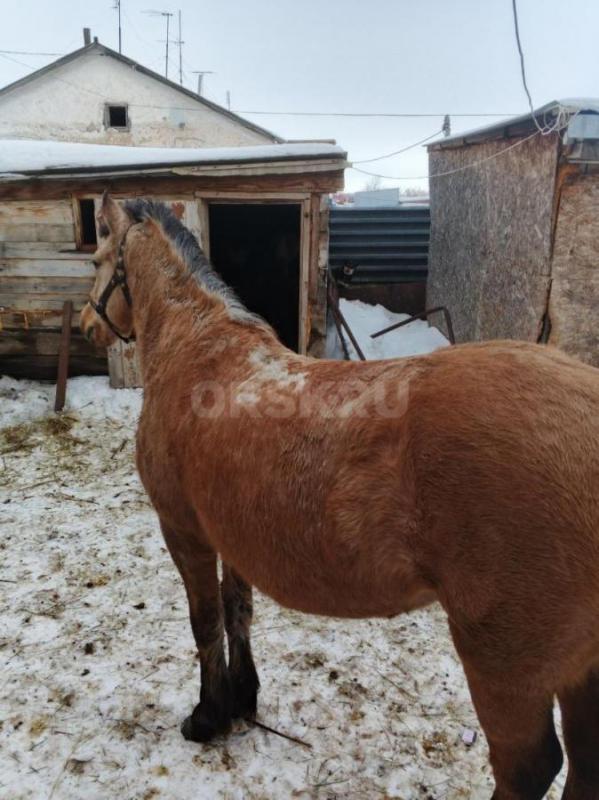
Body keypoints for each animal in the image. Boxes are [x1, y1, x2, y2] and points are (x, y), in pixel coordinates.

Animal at [81, 193, 599, 800]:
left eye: (97, 259)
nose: (88, 324)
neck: (199, 353)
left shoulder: (184, 530)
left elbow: (204, 621)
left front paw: (208, 717)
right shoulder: (228, 534)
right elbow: (238, 612)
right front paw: (243, 698)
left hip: (504, 661)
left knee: (528, 765)